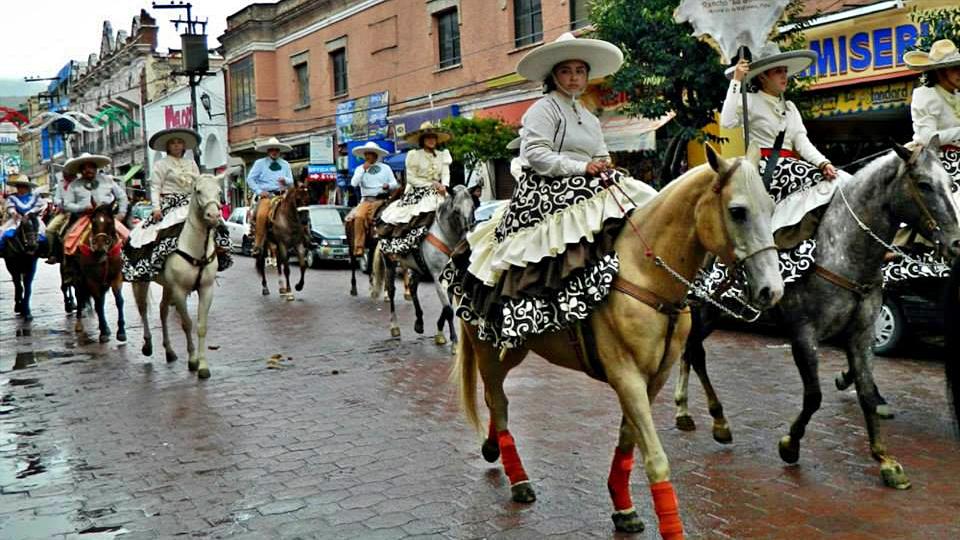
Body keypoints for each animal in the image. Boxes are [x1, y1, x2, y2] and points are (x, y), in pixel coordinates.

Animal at [70, 205, 126, 344]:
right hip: (79, 279)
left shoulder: (116, 276)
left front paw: (121, 332)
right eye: (93, 223)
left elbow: (119, 301)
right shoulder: (91, 280)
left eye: (110, 222)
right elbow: (99, 304)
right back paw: (79, 324)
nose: (100, 248)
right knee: (80, 297)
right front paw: (103, 334)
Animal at [131, 173, 225, 380]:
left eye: (219, 191)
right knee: (143, 310)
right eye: (198, 190)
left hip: (167, 287)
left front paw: (203, 366)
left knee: (162, 311)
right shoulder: (180, 291)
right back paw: (148, 345)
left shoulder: (206, 289)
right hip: (141, 283)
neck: (194, 247)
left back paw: (169, 351)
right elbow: (186, 324)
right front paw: (192, 360)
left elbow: (201, 326)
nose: (214, 216)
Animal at [370, 185, 474, 346]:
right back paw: (394, 327)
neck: (446, 235)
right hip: (389, 262)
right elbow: (448, 309)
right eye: (456, 210)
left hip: (417, 267)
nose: (468, 233)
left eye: (473, 207)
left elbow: (447, 306)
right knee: (391, 290)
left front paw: (440, 333)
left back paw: (419, 322)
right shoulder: (437, 275)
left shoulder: (451, 275)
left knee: (413, 288)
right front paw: (454, 342)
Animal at [454, 144, 784, 536]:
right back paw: (519, 480)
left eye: (771, 207)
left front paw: (623, 506)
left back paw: (493, 448)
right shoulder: (626, 376)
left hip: (515, 348)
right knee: (498, 401)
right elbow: (655, 458)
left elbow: (628, 439)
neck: (645, 274)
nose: (772, 290)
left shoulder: (653, 378)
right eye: (737, 211)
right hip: (488, 349)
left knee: (497, 399)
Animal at [668, 138, 960, 490]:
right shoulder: (804, 334)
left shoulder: (861, 333)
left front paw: (885, 459)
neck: (842, 250)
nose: (956, 243)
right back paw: (714, 420)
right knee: (695, 351)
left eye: (951, 184)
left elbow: (865, 392)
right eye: (924, 184)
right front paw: (790, 444)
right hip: (707, 307)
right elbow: (814, 396)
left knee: (690, 349)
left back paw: (687, 411)